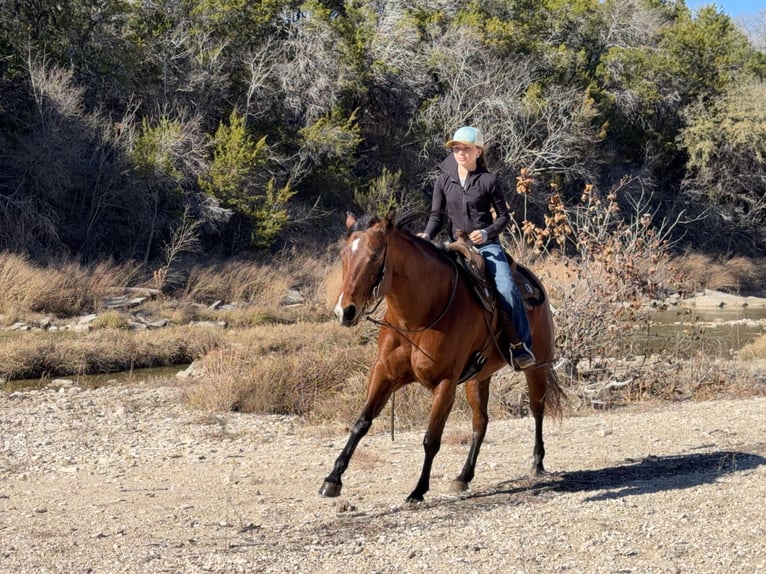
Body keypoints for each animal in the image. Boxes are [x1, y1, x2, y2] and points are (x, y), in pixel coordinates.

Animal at [319, 210, 563, 503]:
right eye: (344, 254)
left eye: (375, 256)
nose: (345, 311)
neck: (417, 318)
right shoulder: (384, 374)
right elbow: (361, 423)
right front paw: (332, 479)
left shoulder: (445, 384)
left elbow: (431, 438)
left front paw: (418, 490)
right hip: (478, 379)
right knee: (480, 422)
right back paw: (463, 476)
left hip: (536, 366)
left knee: (537, 409)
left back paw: (537, 463)